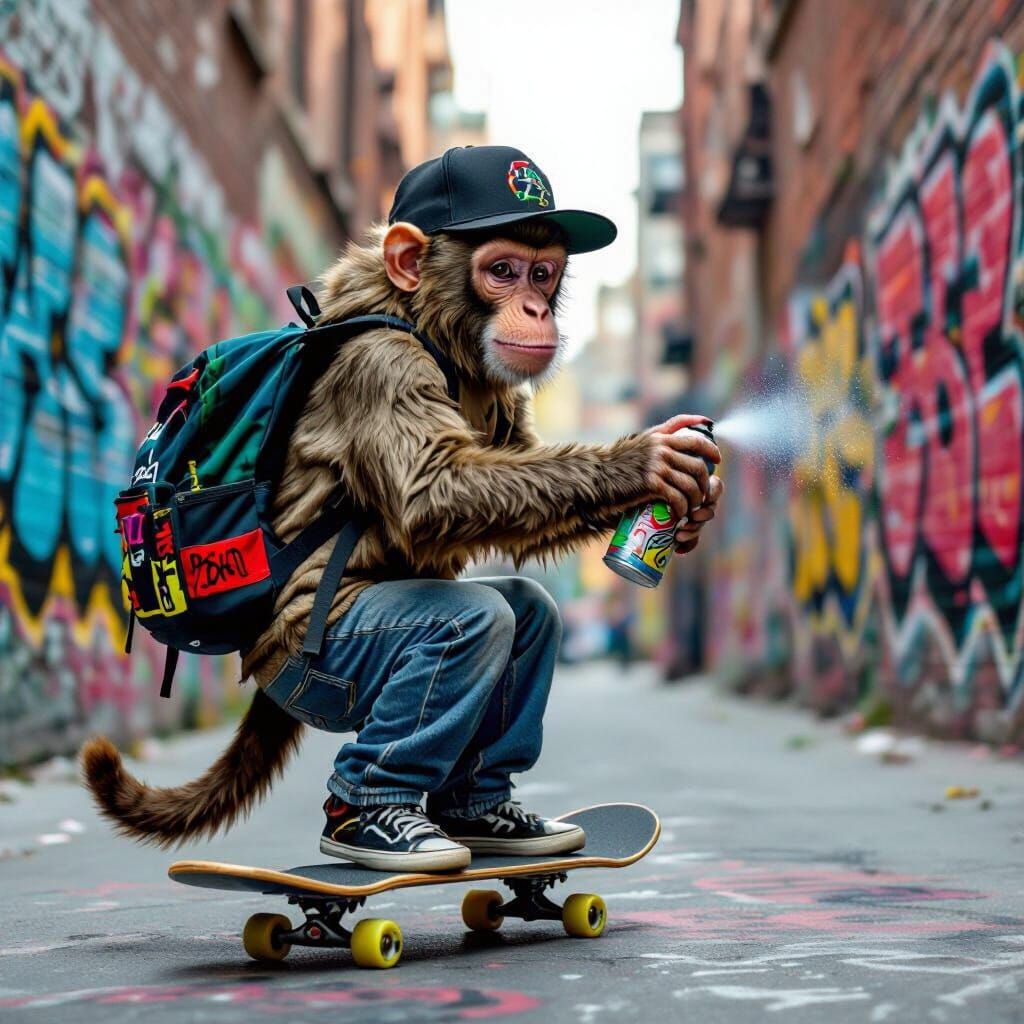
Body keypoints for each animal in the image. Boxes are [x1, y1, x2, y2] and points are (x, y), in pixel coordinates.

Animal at [82, 146, 722, 862]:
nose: (534, 306)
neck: (421, 322)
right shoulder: (379, 364)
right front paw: (644, 462)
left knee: (528, 612)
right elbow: (430, 490)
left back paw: (481, 812)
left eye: (542, 273)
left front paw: (686, 501)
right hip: (323, 672)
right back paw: (374, 818)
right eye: (502, 272)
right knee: (472, 623)